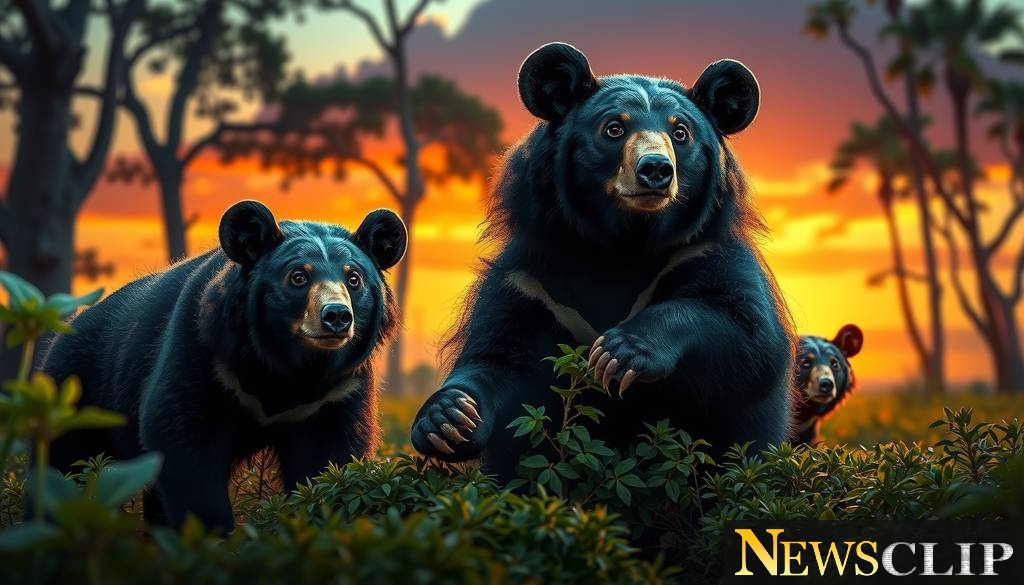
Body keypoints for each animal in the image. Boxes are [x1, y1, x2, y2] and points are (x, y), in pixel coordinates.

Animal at [41, 200, 407, 531]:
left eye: (354, 279)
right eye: (298, 277)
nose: (337, 317)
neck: (291, 370)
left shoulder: (338, 390)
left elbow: (328, 456)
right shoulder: (202, 352)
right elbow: (181, 435)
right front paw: (213, 533)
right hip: (74, 395)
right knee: (64, 467)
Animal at [411, 42, 795, 482]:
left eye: (680, 133)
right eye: (614, 128)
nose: (656, 169)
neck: (621, 246)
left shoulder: (707, 252)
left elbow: (748, 336)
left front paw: (619, 352)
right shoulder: (527, 281)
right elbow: (497, 359)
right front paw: (447, 419)